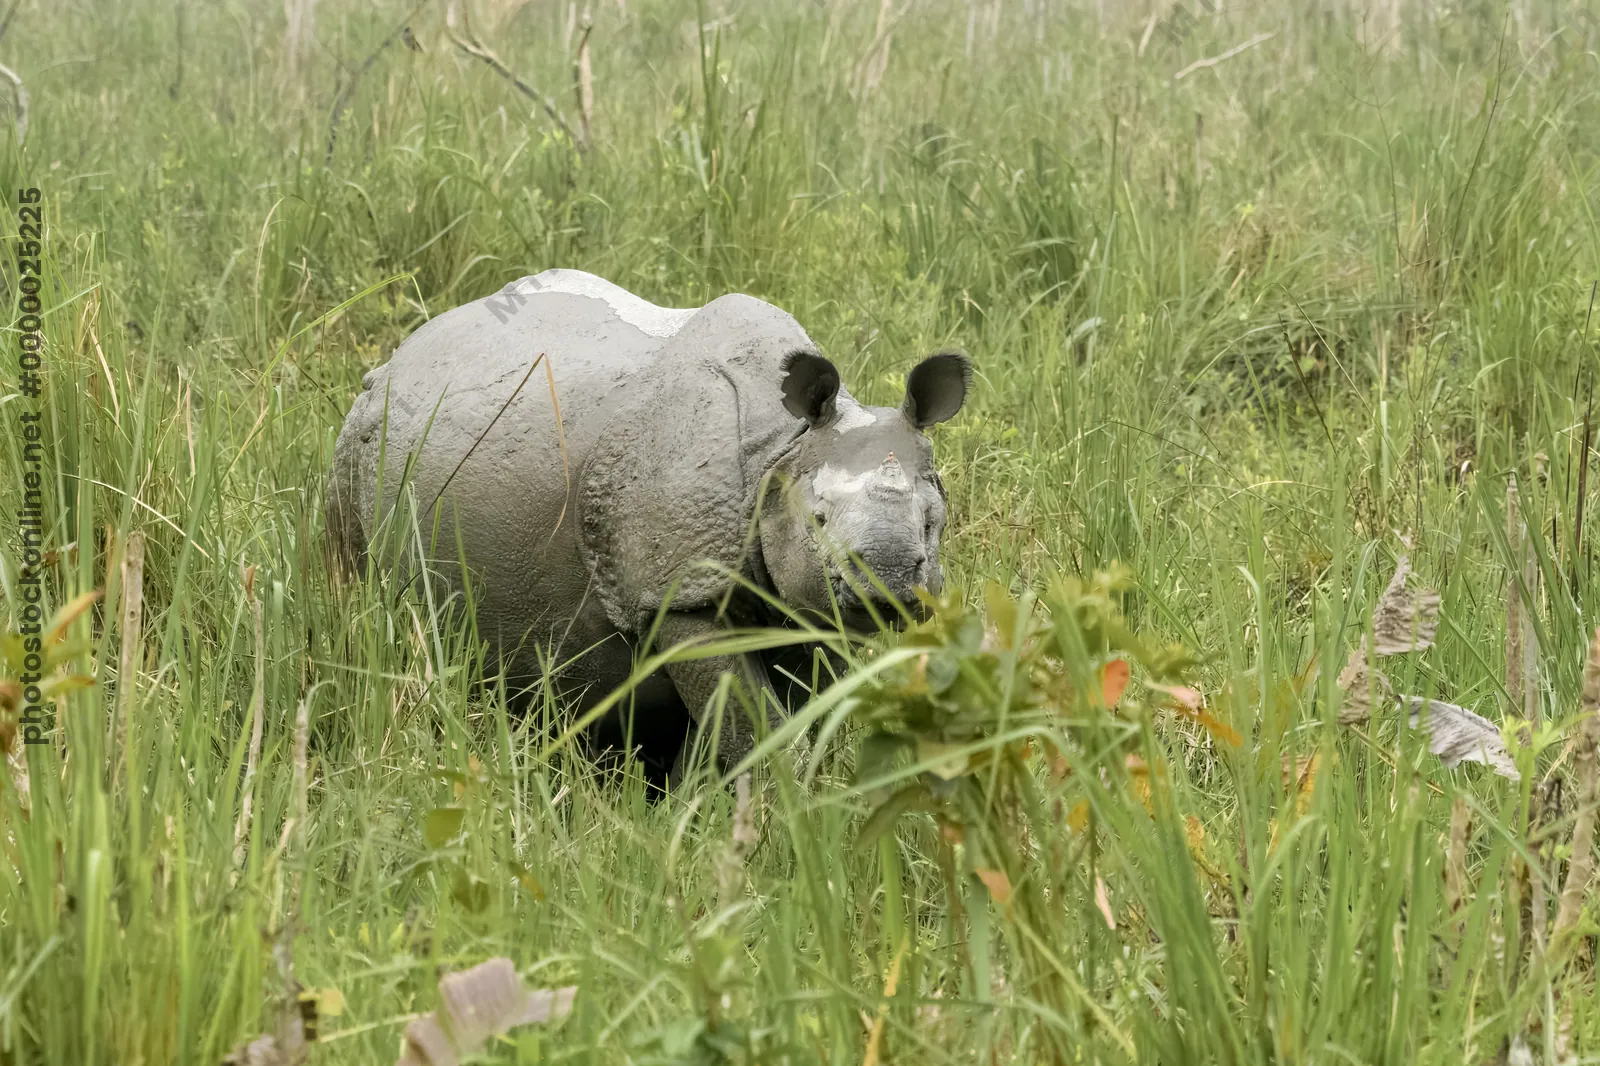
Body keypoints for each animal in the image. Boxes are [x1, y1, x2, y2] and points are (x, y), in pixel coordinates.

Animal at [327, 269, 969, 775]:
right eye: (817, 518)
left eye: (932, 523)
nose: (888, 578)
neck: (782, 452)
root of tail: (404, 350)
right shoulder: (680, 591)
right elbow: (754, 725)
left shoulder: (812, 608)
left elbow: (795, 714)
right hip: (358, 438)